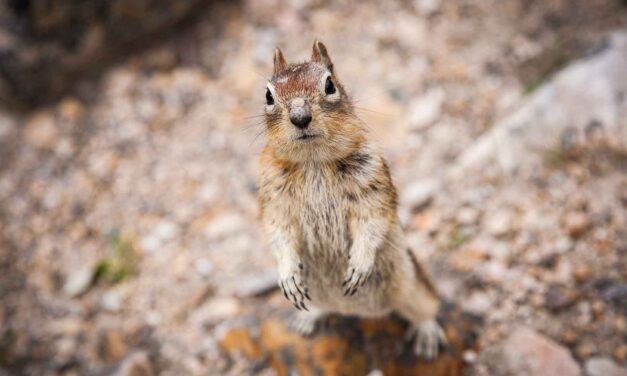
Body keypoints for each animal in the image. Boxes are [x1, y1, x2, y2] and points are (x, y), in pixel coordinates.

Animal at [258, 40, 446, 358]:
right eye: (268, 95)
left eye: (329, 84)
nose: (300, 118)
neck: (313, 162)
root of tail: (357, 311)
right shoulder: (273, 199)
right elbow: (278, 233)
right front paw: (288, 275)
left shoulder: (372, 185)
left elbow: (372, 222)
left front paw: (359, 264)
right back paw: (308, 318)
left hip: (414, 288)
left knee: (427, 308)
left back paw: (427, 336)